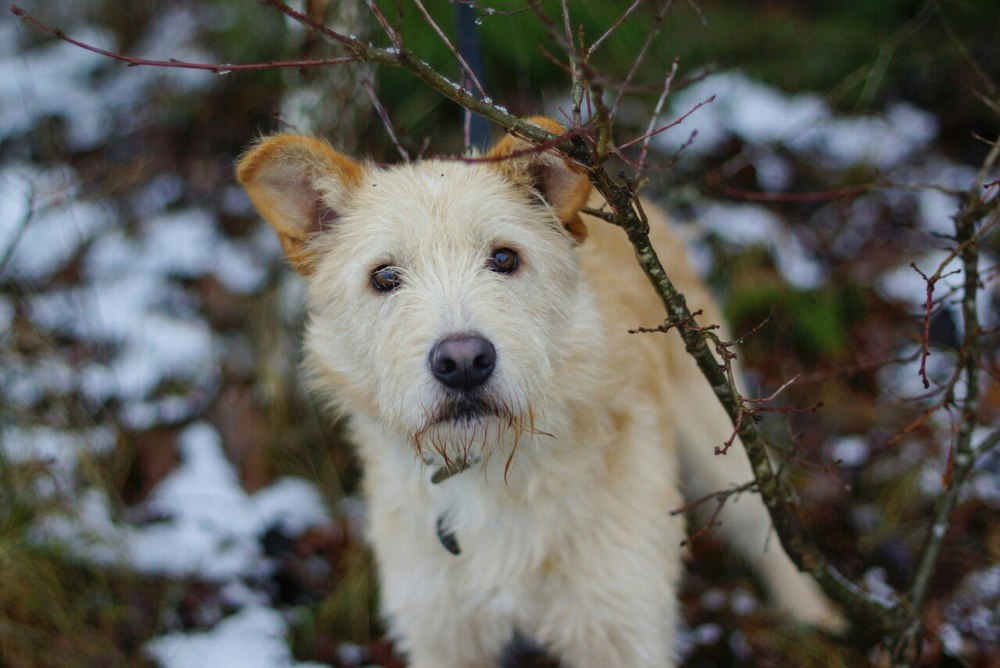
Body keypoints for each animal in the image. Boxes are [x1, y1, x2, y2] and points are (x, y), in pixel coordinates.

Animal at [236, 117, 836, 664]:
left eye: (504, 258)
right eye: (384, 277)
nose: (463, 363)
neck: (491, 472)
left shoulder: (620, 622)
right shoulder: (442, 632)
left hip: (722, 437)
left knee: (768, 522)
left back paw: (816, 612)